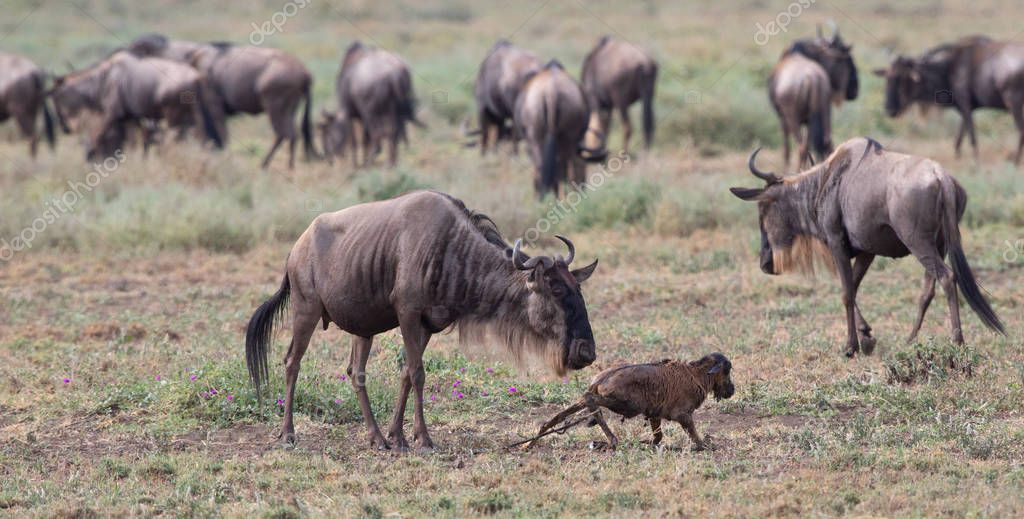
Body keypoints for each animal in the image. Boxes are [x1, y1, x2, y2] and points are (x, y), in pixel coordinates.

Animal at [524, 354, 733, 450]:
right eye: (727, 371)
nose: (732, 390)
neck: (697, 374)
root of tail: (601, 379)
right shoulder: (683, 415)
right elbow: (696, 439)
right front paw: (706, 445)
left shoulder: (654, 414)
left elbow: (658, 436)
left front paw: (646, 442)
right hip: (630, 404)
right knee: (590, 399)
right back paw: (611, 439)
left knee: (574, 405)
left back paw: (534, 439)